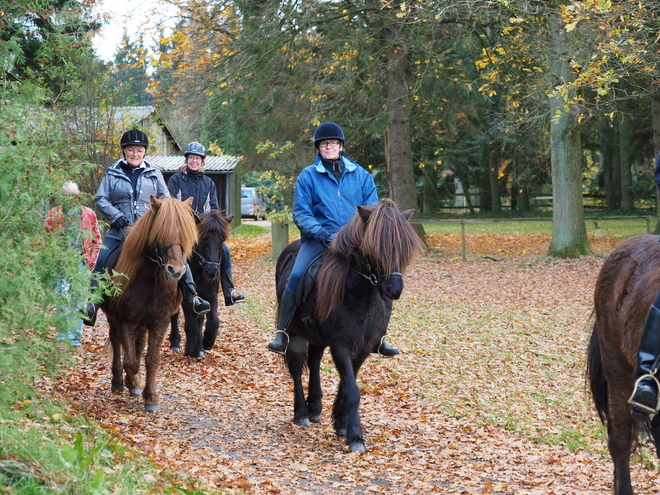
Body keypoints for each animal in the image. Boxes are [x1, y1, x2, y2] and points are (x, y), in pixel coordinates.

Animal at [101, 196, 199, 412]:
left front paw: (151, 397)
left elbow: (152, 359)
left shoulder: (160, 321)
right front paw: (133, 383)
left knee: (138, 344)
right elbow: (130, 362)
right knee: (116, 342)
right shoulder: (125, 320)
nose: (175, 271)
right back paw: (119, 382)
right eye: (160, 233)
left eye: (185, 234)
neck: (151, 280)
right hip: (115, 319)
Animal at [170, 211, 235, 358]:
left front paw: (206, 343)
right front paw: (191, 350)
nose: (212, 271)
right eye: (204, 239)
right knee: (174, 315)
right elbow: (191, 323)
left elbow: (212, 321)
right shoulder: (187, 296)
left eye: (222, 240)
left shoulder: (210, 294)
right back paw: (175, 343)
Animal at [274, 201, 422, 454]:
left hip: (317, 337)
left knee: (314, 361)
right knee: (296, 367)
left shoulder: (362, 348)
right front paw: (355, 437)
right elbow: (352, 391)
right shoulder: (341, 346)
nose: (393, 289)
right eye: (375, 248)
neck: (358, 296)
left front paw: (341, 424)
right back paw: (302, 413)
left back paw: (315, 407)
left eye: (402, 249)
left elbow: (346, 385)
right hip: (294, 334)